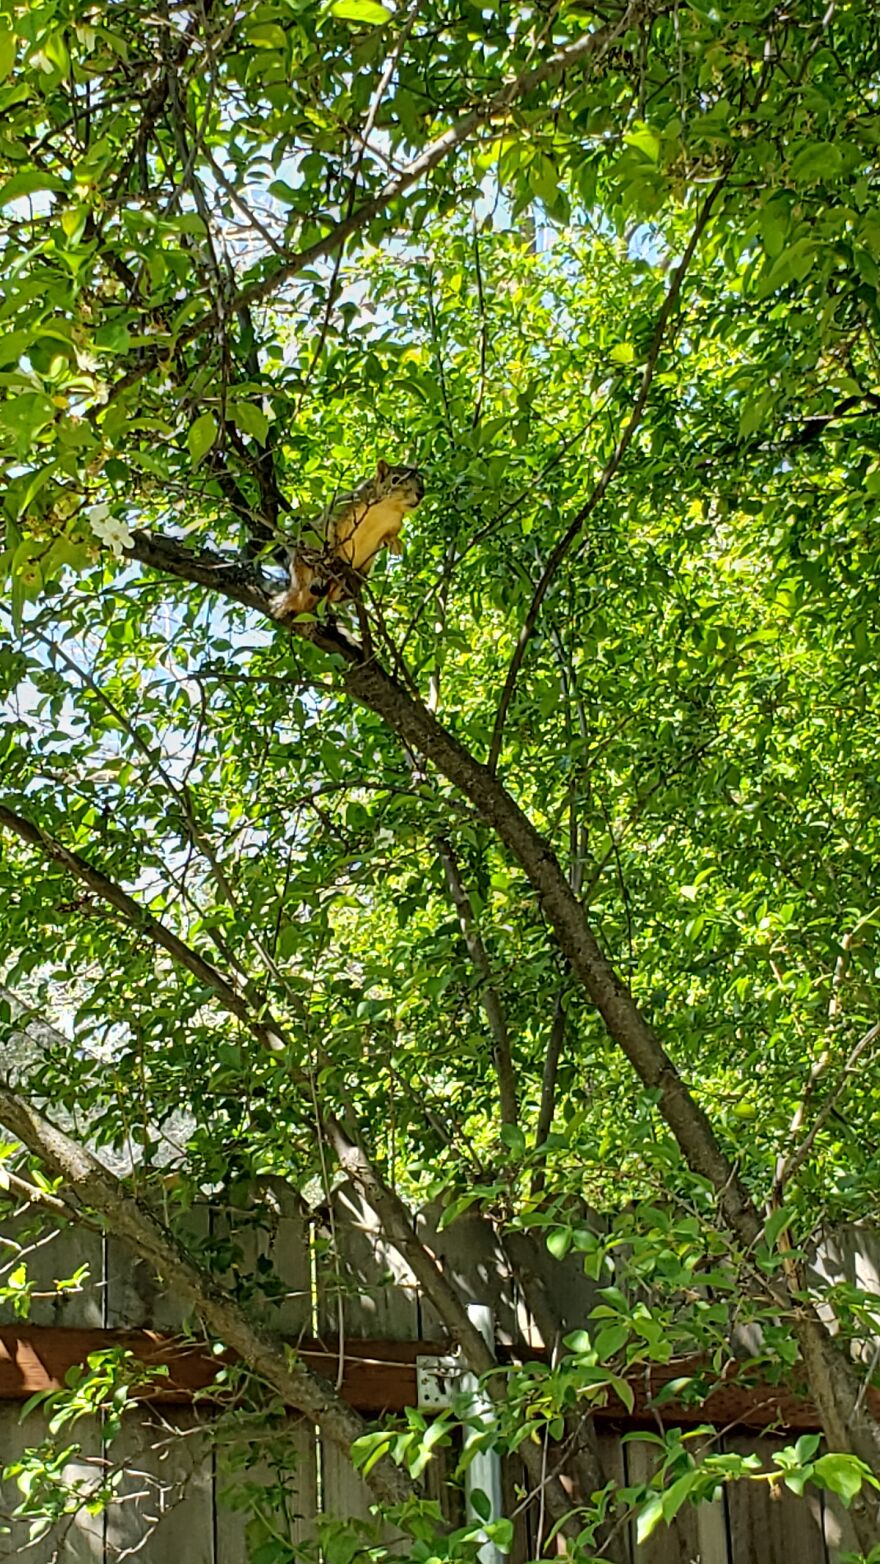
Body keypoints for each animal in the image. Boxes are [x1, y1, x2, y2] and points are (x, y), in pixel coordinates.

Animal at [269, 460, 425, 619]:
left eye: (420, 479)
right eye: (395, 479)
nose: (420, 493)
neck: (386, 508)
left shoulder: (395, 523)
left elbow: (391, 534)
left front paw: (395, 543)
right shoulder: (342, 507)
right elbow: (330, 527)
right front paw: (330, 553)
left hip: (363, 569)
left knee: (333, 595)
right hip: (304, 555)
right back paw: (319, 576)